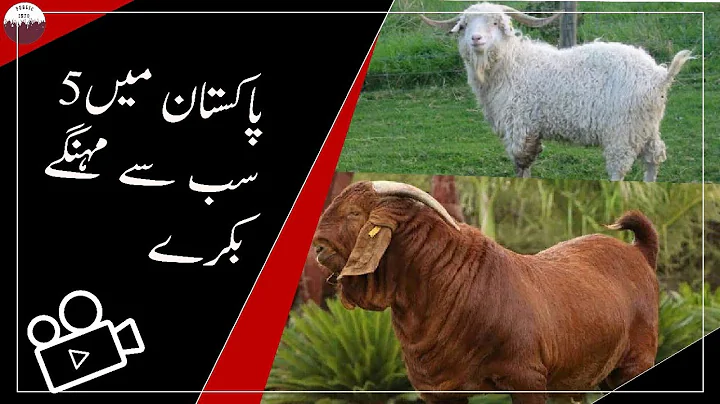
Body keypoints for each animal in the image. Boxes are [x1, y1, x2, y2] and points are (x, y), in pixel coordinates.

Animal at [312, 180, 660, 404]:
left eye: (354, 213)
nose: (317, 246)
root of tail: (640, 253)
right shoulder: (437, 390)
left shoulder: (527, 378)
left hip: (635, 362)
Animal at [420, 2, 693, 182]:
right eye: (465, 25)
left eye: (496, 22)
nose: (476, 39)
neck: (512, 64)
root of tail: (659, 76)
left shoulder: (521, 124)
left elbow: (521, 163)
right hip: (645, 126)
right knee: (654, 157)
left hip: (622, 130)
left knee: (620, 167)